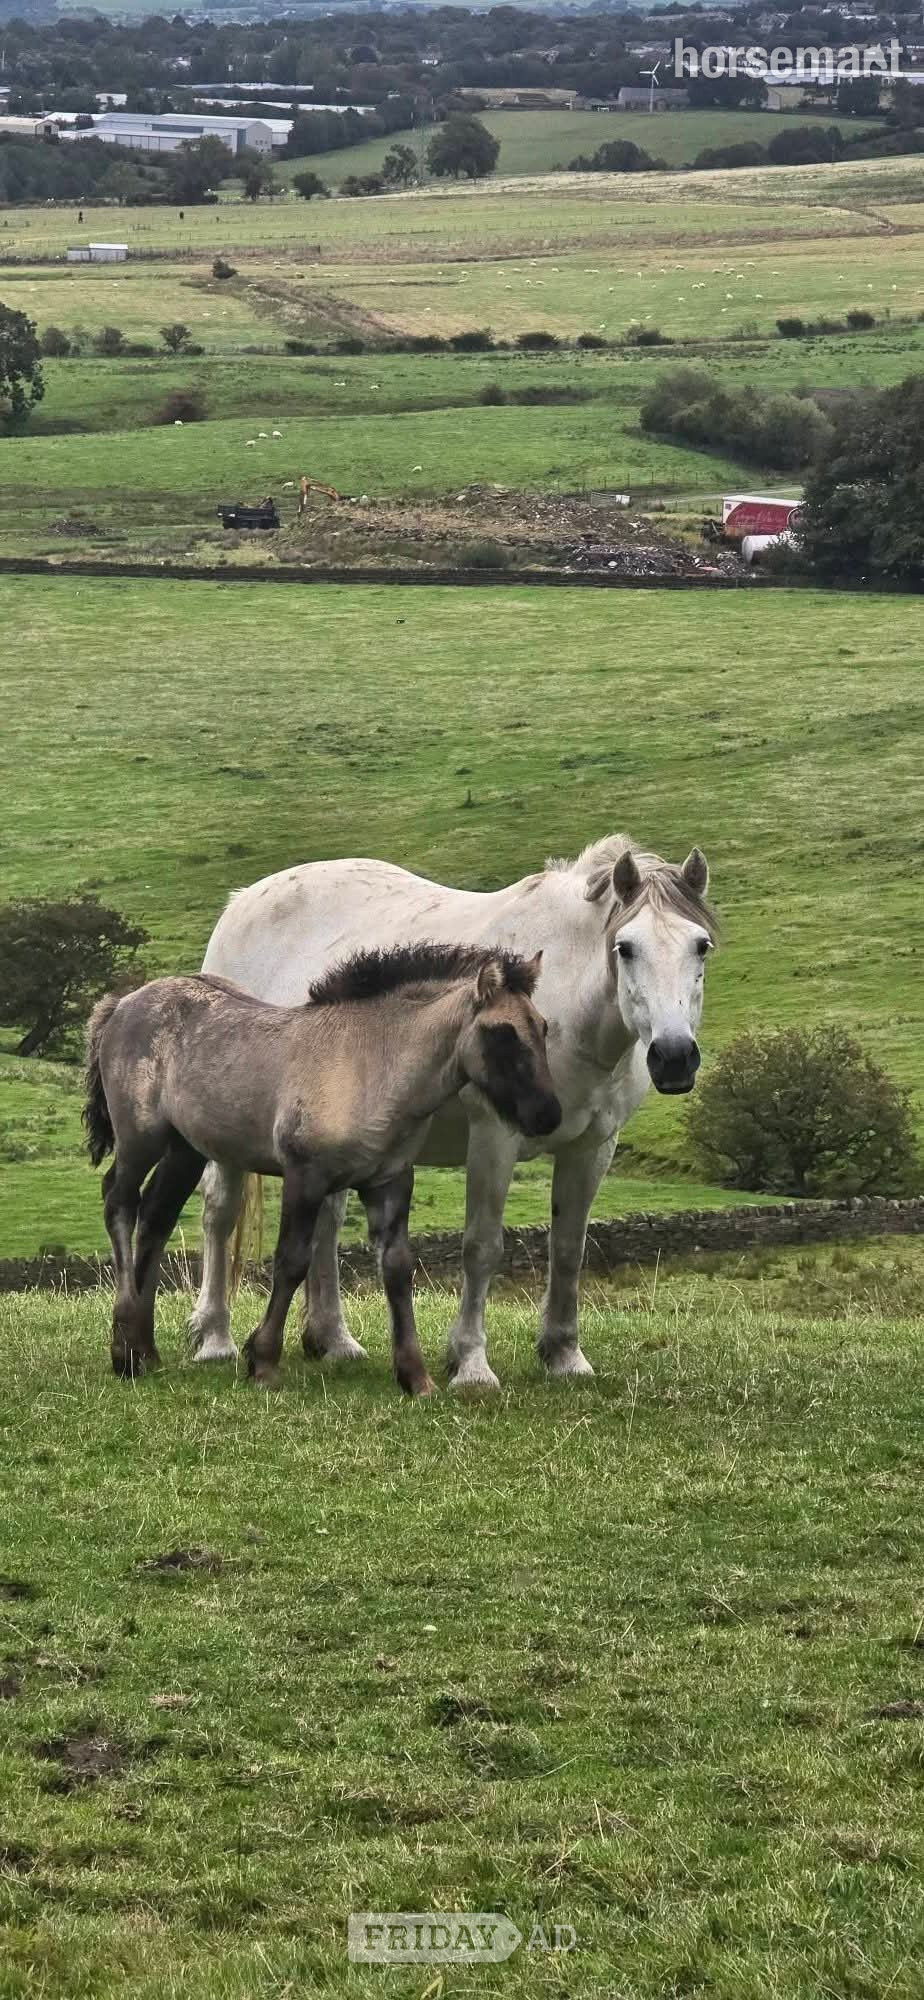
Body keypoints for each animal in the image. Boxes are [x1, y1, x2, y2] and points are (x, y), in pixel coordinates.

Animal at [84, 945, 560, 1396]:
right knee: (118, 1202)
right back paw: (124, 1349)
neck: (370, 1064)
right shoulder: (305, 1176)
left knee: (156, 1220)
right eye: (502, 1032)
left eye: (543, 1027)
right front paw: (262, 1362)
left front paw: (415, 1376)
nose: (547, 1115)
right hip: (140, 1137)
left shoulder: (390, 1181)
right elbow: (291, 1261)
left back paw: (144, 1349)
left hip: (186, 1149)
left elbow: (397, 1269)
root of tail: (124, 1002)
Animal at [190, 835, 717, 1389]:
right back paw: (214, 1338)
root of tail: (242, 901)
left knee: (325, 1224)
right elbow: (481, 1247)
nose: (674, 1056)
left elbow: (569, 1248)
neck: (569, 999)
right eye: (626, 947)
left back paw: (332, 1340)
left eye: (700, 945)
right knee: (219, 1212)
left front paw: (564, 1354)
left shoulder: (594, 1145)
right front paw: (470, 1364)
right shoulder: (494, 1136)